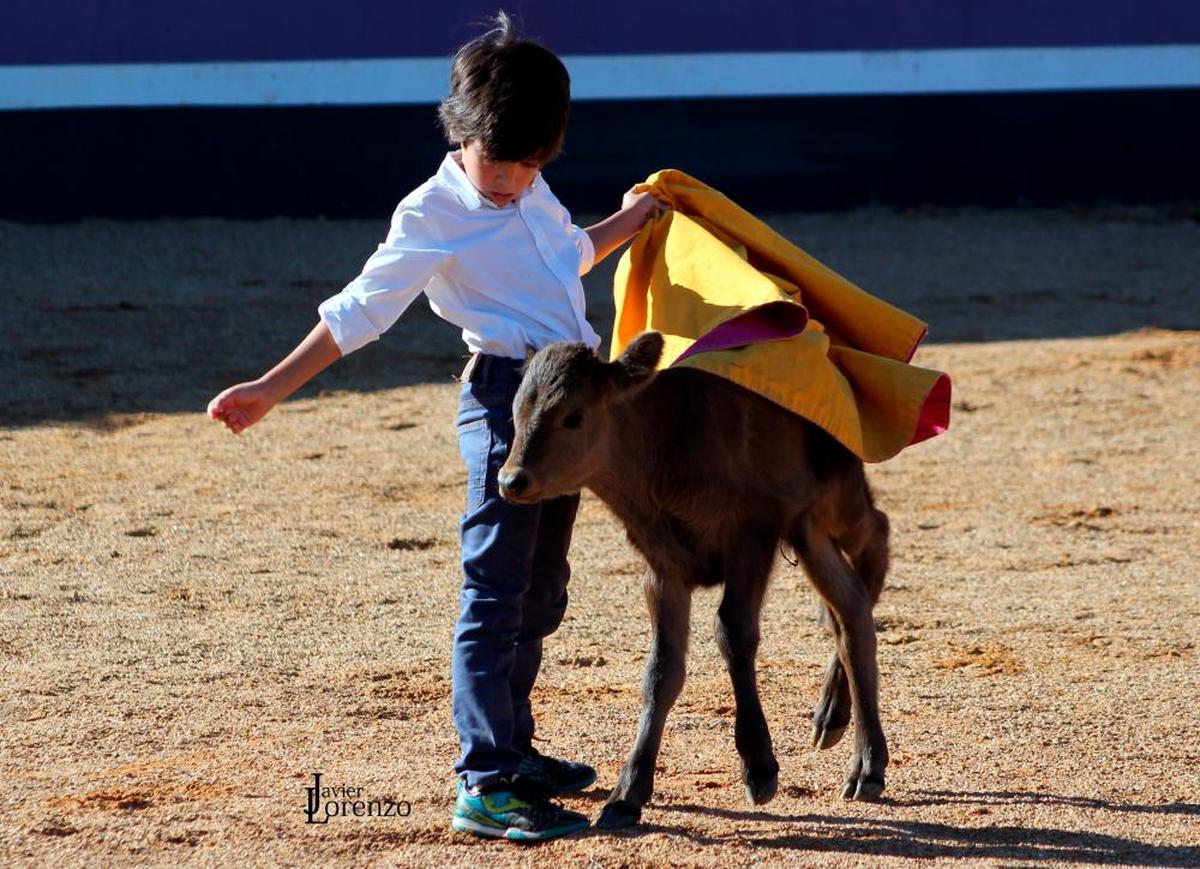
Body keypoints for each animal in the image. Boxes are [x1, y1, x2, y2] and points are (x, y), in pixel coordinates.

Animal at [496, 333, 892, 830]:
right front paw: (627, 793)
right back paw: (843, 731)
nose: (512, 479)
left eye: (574, 415)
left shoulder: (751, 535)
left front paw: (759, 767)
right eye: (516, 411)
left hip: (835, 497)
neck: (666, 449)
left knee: (876, 539)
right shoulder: (662, 568)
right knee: (850, 608)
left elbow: (733, 634)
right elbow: (662, 670)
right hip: (808, 531)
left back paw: (863, 757)